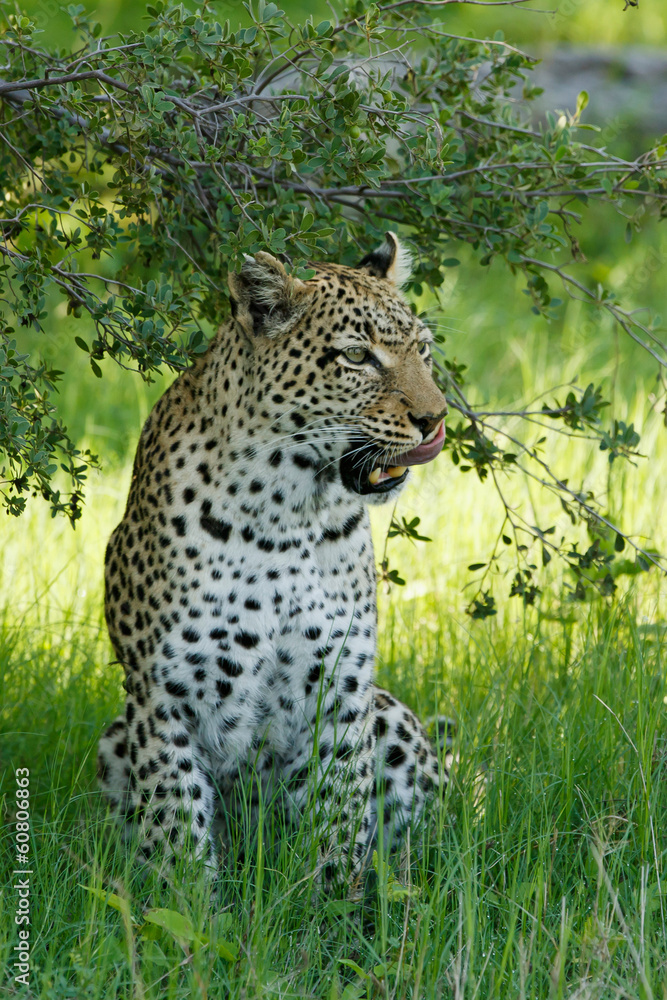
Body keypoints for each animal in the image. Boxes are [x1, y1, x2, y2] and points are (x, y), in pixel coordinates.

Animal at [98, 232, 454, 884]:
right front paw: (188, 905)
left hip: (387, 712)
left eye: (422, 348)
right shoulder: (163, 699)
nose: (434, 419)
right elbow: (176, 830)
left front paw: (330, 902)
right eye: (357, 357)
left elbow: (339, 820)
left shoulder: (341, 690)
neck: (287, 515)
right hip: (117, 735)